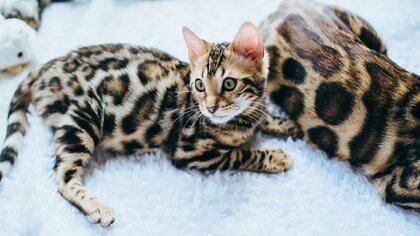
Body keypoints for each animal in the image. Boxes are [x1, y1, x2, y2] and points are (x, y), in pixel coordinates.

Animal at [0, 23, 298, 226]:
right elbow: (241, 153)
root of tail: (48, 66)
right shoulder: (191, 153)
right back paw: (96, 206)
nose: (210, 107)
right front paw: (276, 157)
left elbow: (263, 117)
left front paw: (285, 123)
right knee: (62, 178)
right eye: (199, 85)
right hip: (84, 116)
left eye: (229, 84)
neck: (240, 119)